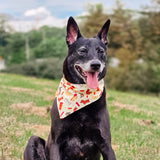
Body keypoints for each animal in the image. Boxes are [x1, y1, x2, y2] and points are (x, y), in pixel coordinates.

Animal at [23, 16, 115, 160]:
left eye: (101, 51)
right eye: (82, 51)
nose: (96, 65)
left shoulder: (106, 144)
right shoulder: (56, 142)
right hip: (33, 140)